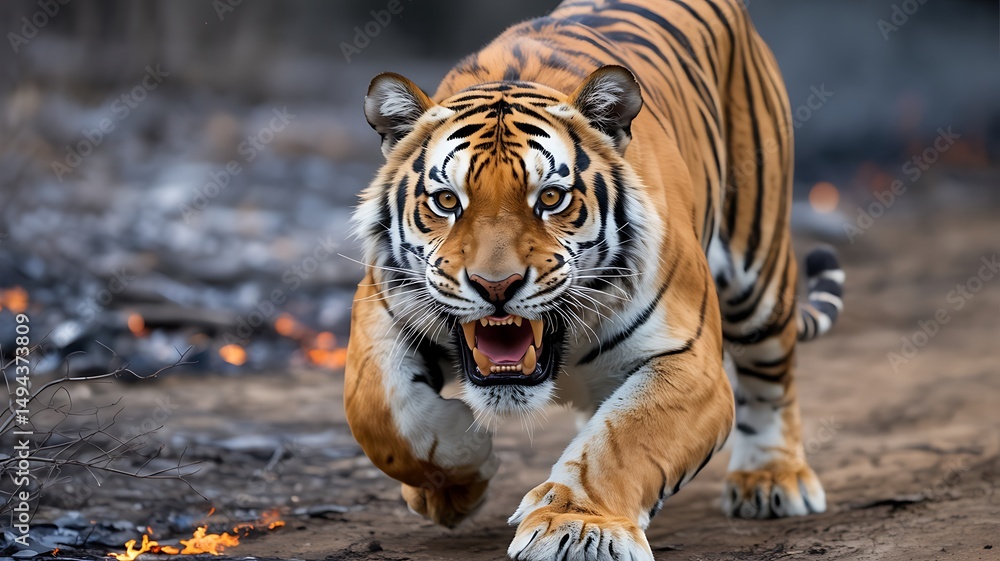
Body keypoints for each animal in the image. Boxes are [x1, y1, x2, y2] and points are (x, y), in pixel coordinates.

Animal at [344, 0, 845, 559]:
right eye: (447, 201)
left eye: (551, 198)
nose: (496, 286)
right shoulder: (381, 310)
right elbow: (377, 413)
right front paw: (460, 471)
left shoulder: (688, 360)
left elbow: (622, 440)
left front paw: (578, 526)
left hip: (758, 271)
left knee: (771, 377)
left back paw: (771, 479)